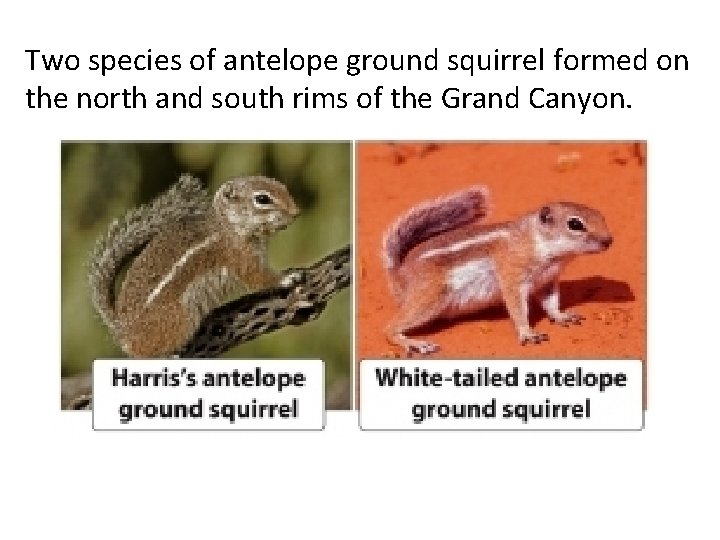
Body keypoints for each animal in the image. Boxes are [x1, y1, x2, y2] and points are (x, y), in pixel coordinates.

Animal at [88, 174, 300, 357]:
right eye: (262, 199)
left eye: (283, 186)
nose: (296, 212)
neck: (229, 226)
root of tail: (123, 332)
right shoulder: (240, 258)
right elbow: (260, 279)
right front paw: (287, 278)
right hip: (179, 320)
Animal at [382, 186, 613, 354]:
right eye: (575, 224)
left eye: (601, 215)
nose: (608, 241)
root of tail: (399, 276)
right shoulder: (512, 277)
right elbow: (518, 309)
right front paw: (528, 333)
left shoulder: (547, 281)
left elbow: (551, 302)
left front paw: (562, 316)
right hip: (428, 298)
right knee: (389, 329)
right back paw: (414, 343)